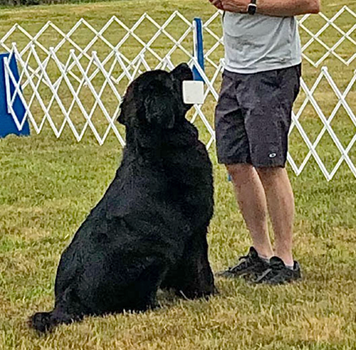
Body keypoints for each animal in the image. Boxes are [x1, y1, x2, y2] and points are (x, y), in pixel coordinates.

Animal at [29, 63, 214, 334]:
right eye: (170, 79)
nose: (183, 66)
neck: (155, 145)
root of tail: (67, 299)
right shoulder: (194, 232)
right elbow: (200, 267)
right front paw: (209, 293)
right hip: (153, 257)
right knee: (139, 302)